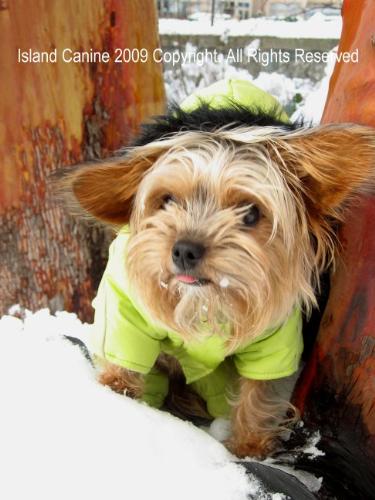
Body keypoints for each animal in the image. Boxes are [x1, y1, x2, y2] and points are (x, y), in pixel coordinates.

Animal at [65, 80, 375, 458]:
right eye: (167, 200)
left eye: (250, 213)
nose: (185, 250)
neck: (204, 302)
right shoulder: (126, 306)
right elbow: (124, 354)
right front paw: (118, 398)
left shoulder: (279, 335)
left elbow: (261, 392)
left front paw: (248, 448)